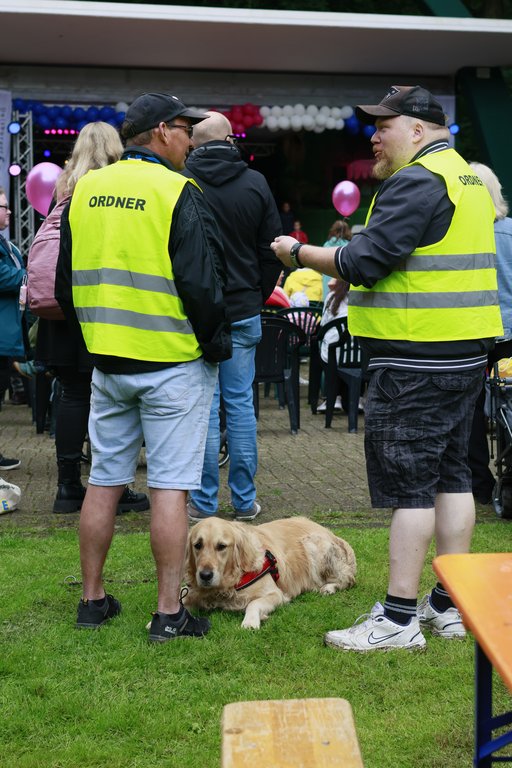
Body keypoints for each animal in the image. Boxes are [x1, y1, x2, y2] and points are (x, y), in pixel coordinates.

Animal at [184, 516, 356, 629]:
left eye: (221, 546)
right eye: (198, 545)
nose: (205, 576)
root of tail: (330, 533)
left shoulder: (275, 593)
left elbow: (253, 603)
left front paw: (250, 621)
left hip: (312, 544)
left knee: (348, 579)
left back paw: (328, 588)